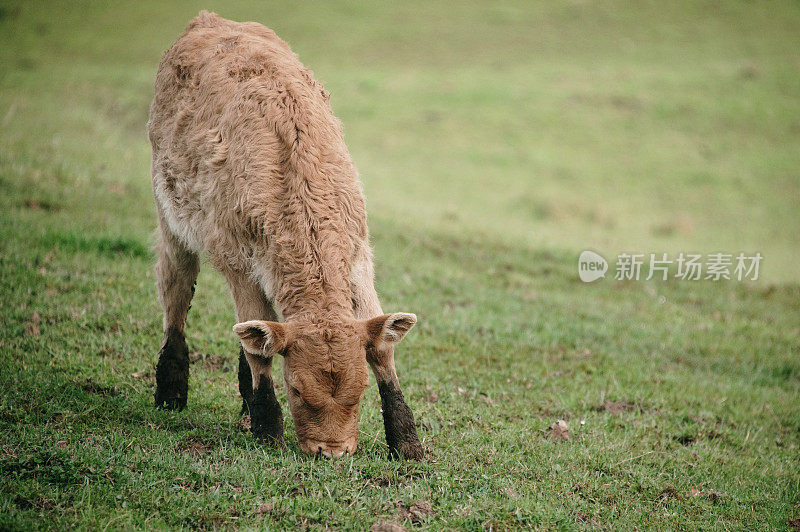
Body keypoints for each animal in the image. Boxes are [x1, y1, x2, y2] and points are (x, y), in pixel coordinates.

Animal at [150, 10, 424, 460]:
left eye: (360, 393)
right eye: (295, 390)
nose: (332, 452)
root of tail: (210, 17)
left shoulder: (358, 258)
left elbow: (382, 345)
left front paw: (406, 440)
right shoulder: (237, 263)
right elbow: (260, 355)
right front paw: (267, 427)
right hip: (170, 220)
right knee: (176, 291)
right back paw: (170, 392)